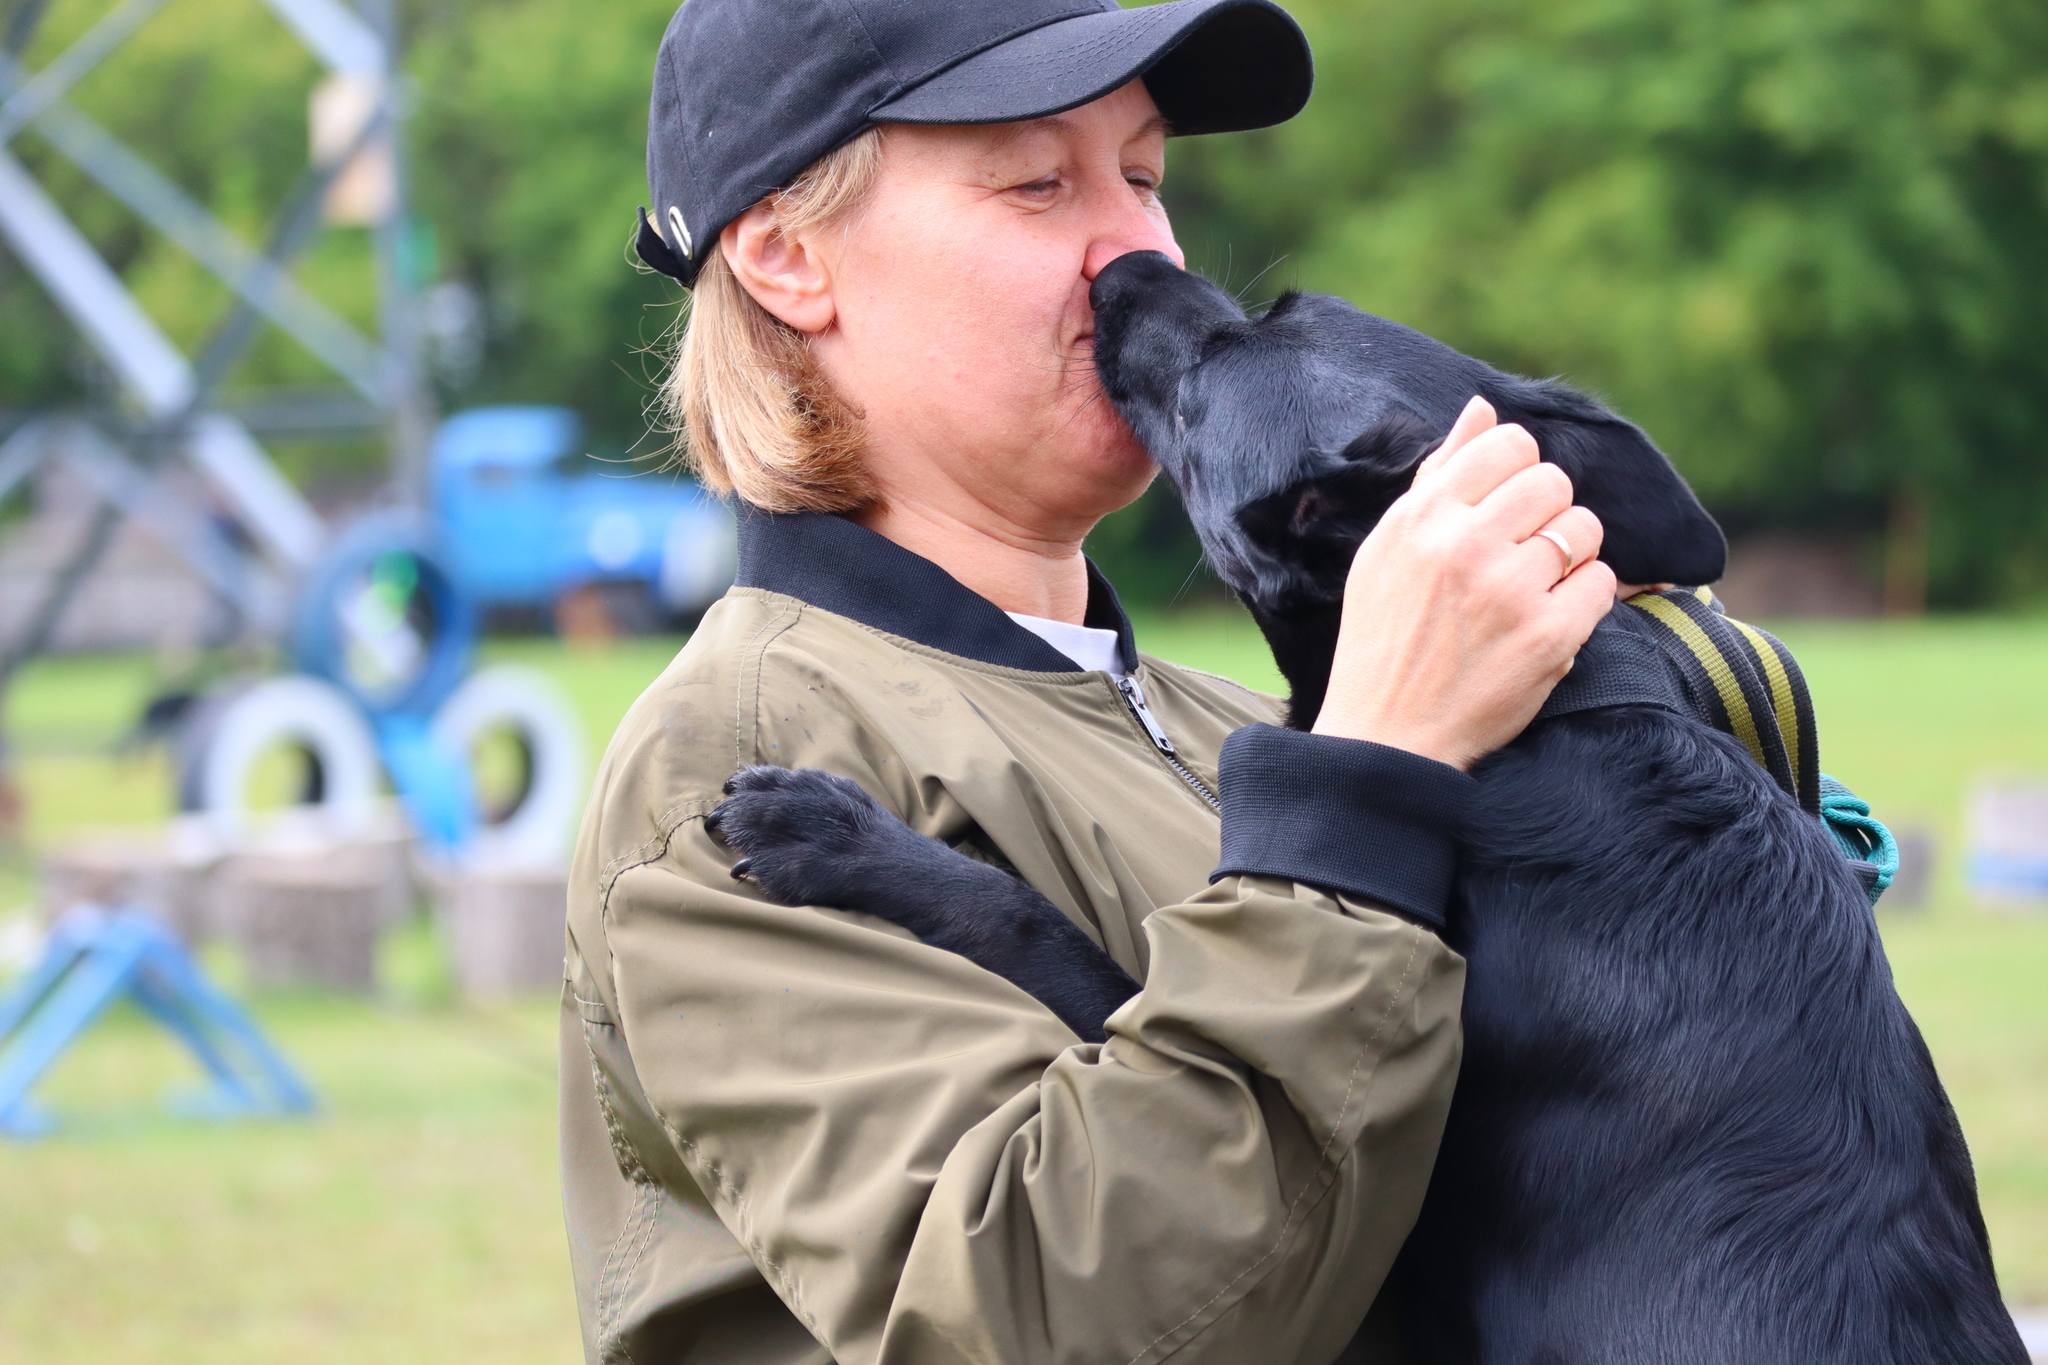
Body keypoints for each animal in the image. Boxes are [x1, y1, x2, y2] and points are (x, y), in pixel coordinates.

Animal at [712, 253, 2023, 1358]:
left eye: (1215, 368)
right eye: (1273, 303)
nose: (1124, 262)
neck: (1543, 722)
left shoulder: (1358, 1210)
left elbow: (1033, 923)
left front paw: (828, 834)